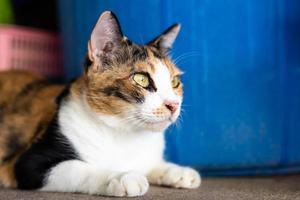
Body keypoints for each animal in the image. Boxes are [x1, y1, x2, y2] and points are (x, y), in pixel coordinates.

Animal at [0, 10, 202, 197]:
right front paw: (123, 177)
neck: (125, 133)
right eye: (141, 79)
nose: (173, 105)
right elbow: (78, 169)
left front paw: (178, 171)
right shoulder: (29, 162)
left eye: (174, 82)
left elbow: (151, 164)